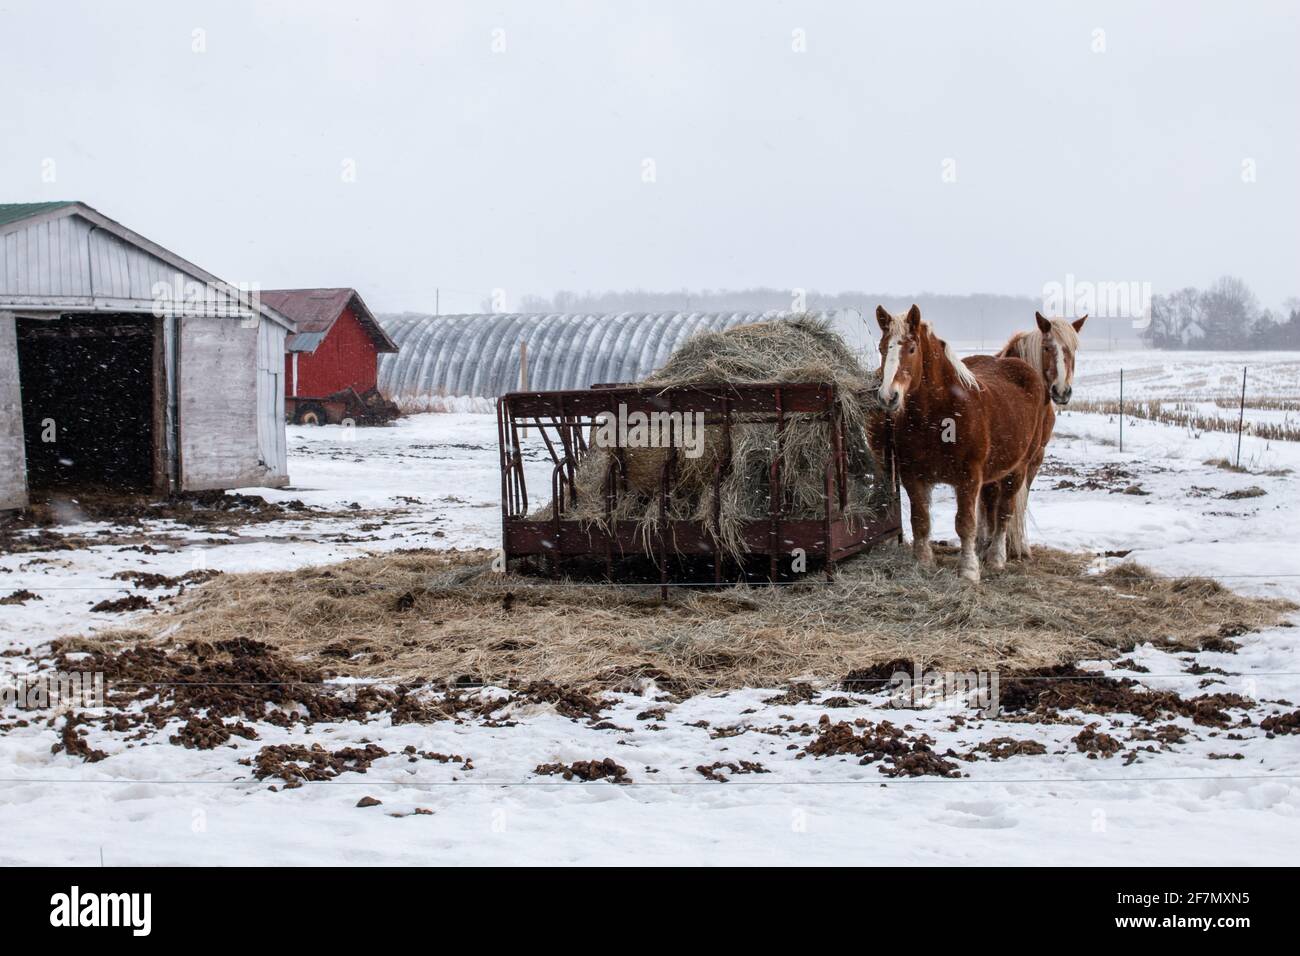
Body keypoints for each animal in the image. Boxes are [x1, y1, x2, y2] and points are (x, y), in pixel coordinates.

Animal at [873, 304, 1045, 582]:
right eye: (881, 347)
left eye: (911, 349)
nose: (889, 397)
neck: (939, 414)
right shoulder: (912, 475)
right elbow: (920, 520)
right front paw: (923, 562)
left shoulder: (968, 478)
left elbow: (965, 523)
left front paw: (969, 570)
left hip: (1018, 469)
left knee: (1004, 512)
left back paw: (996, 558)